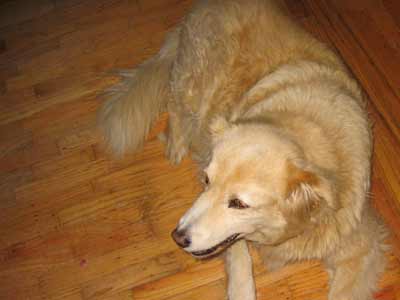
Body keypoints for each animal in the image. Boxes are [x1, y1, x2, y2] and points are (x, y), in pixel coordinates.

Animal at [99, 1, 388, 298]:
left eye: (239, 204)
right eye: (206, 180)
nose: (178, 237)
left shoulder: (362, 249)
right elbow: (238, 258)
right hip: (192, 82)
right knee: (175, 103)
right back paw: (176, 144)